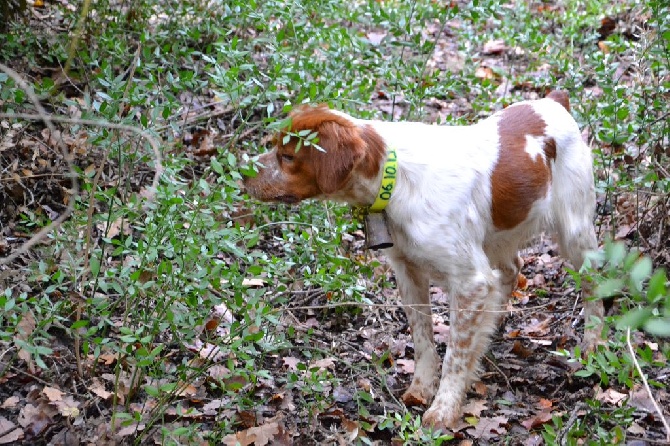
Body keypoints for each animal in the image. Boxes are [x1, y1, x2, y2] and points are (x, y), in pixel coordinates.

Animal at [244, 92, 608, 430]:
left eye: (287, 156)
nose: (243, 173)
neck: (395, 180)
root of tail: (554, 100)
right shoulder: (408, 272)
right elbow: (422, 339)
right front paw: (420, 389)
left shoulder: (469, 281)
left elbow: (455, 355)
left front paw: (444, 408)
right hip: (496, 238)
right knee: (512, 270)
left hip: (575, 231)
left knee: (593, 287)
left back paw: (593, 343)